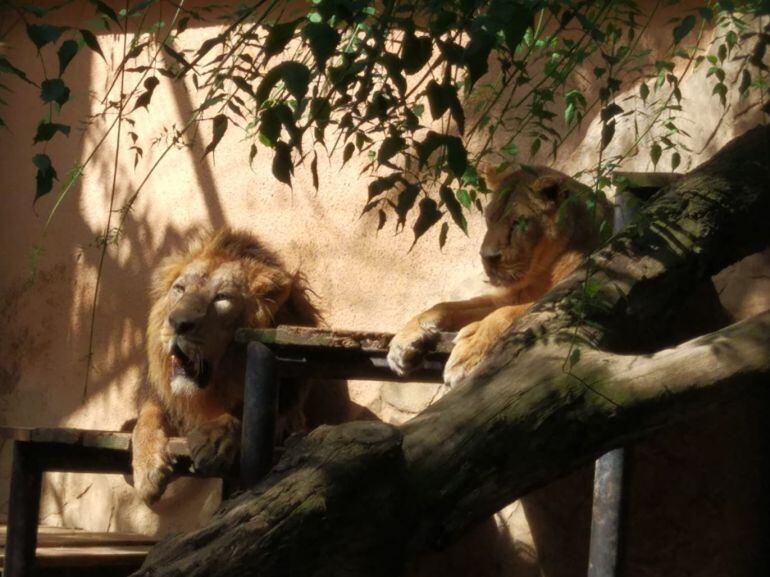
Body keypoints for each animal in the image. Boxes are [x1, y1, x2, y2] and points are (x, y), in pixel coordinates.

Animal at [132, 229, 319, 504]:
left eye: (222, 298)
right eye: (179, 289)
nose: (177, 323)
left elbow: (245, 408)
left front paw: (214, 440)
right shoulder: (160, 395)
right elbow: (146, 418)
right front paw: (147, 470)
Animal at [388, 165, 612, 387]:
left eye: (518, 223)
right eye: (490, 218)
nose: (487, 257)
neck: (542, 268)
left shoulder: (569, 289)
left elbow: (504, 314)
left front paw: (469, 349)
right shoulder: (512, 293)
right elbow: (447, 306)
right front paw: (404, 341)